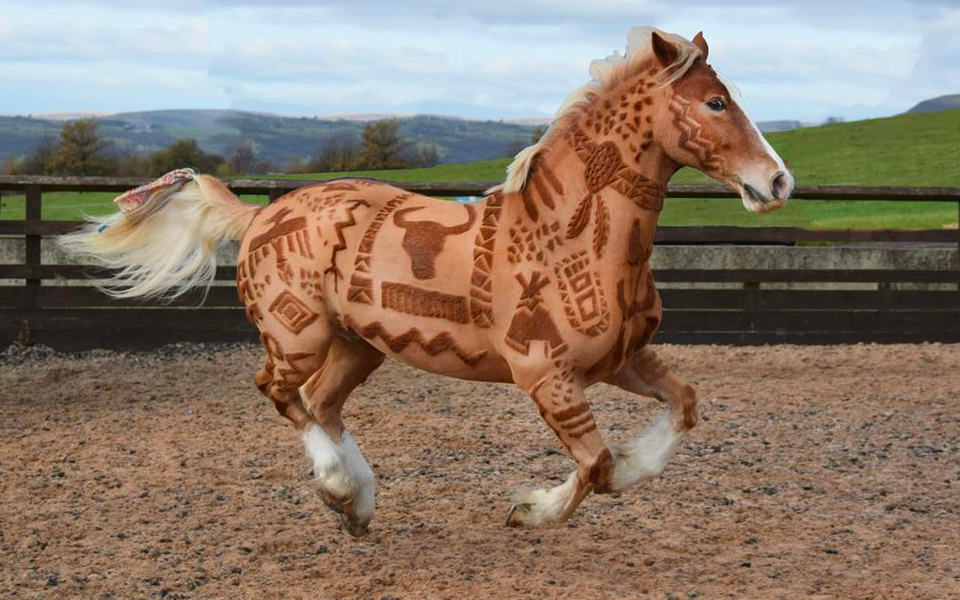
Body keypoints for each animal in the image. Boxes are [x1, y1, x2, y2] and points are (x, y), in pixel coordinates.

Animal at [62, 27, 796, 536]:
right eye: (715, 101)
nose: (779, 181)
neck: (567, 238)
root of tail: (261, 213)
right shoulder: (548, 378)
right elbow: (597, 466)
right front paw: (530, 510)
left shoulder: (621, 360)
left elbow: (682, 408)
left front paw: (625, 469)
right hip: (297, 336)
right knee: (281, 393)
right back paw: (340, 487)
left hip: (358, 346)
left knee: (321, 403)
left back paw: (356, 505)